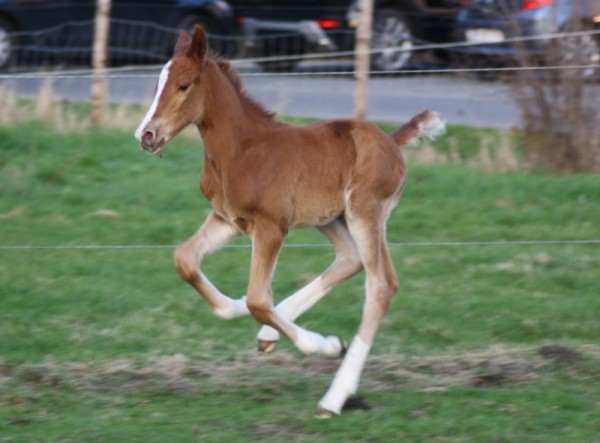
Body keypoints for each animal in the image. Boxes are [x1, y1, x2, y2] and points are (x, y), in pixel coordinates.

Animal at [137, 26, 446, 418]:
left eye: (183, 85)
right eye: (158, 83)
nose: (146, 135)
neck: (241, 149)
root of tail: (391, 140)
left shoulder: (271, 226)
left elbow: (258, 298)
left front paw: (318, 344)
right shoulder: (227, 219)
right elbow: (186, 261)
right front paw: (239, 308)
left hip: (365, 211)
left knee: (381, 286)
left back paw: (334, 397)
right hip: (331, 218)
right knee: (351, 259)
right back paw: (275, 336)